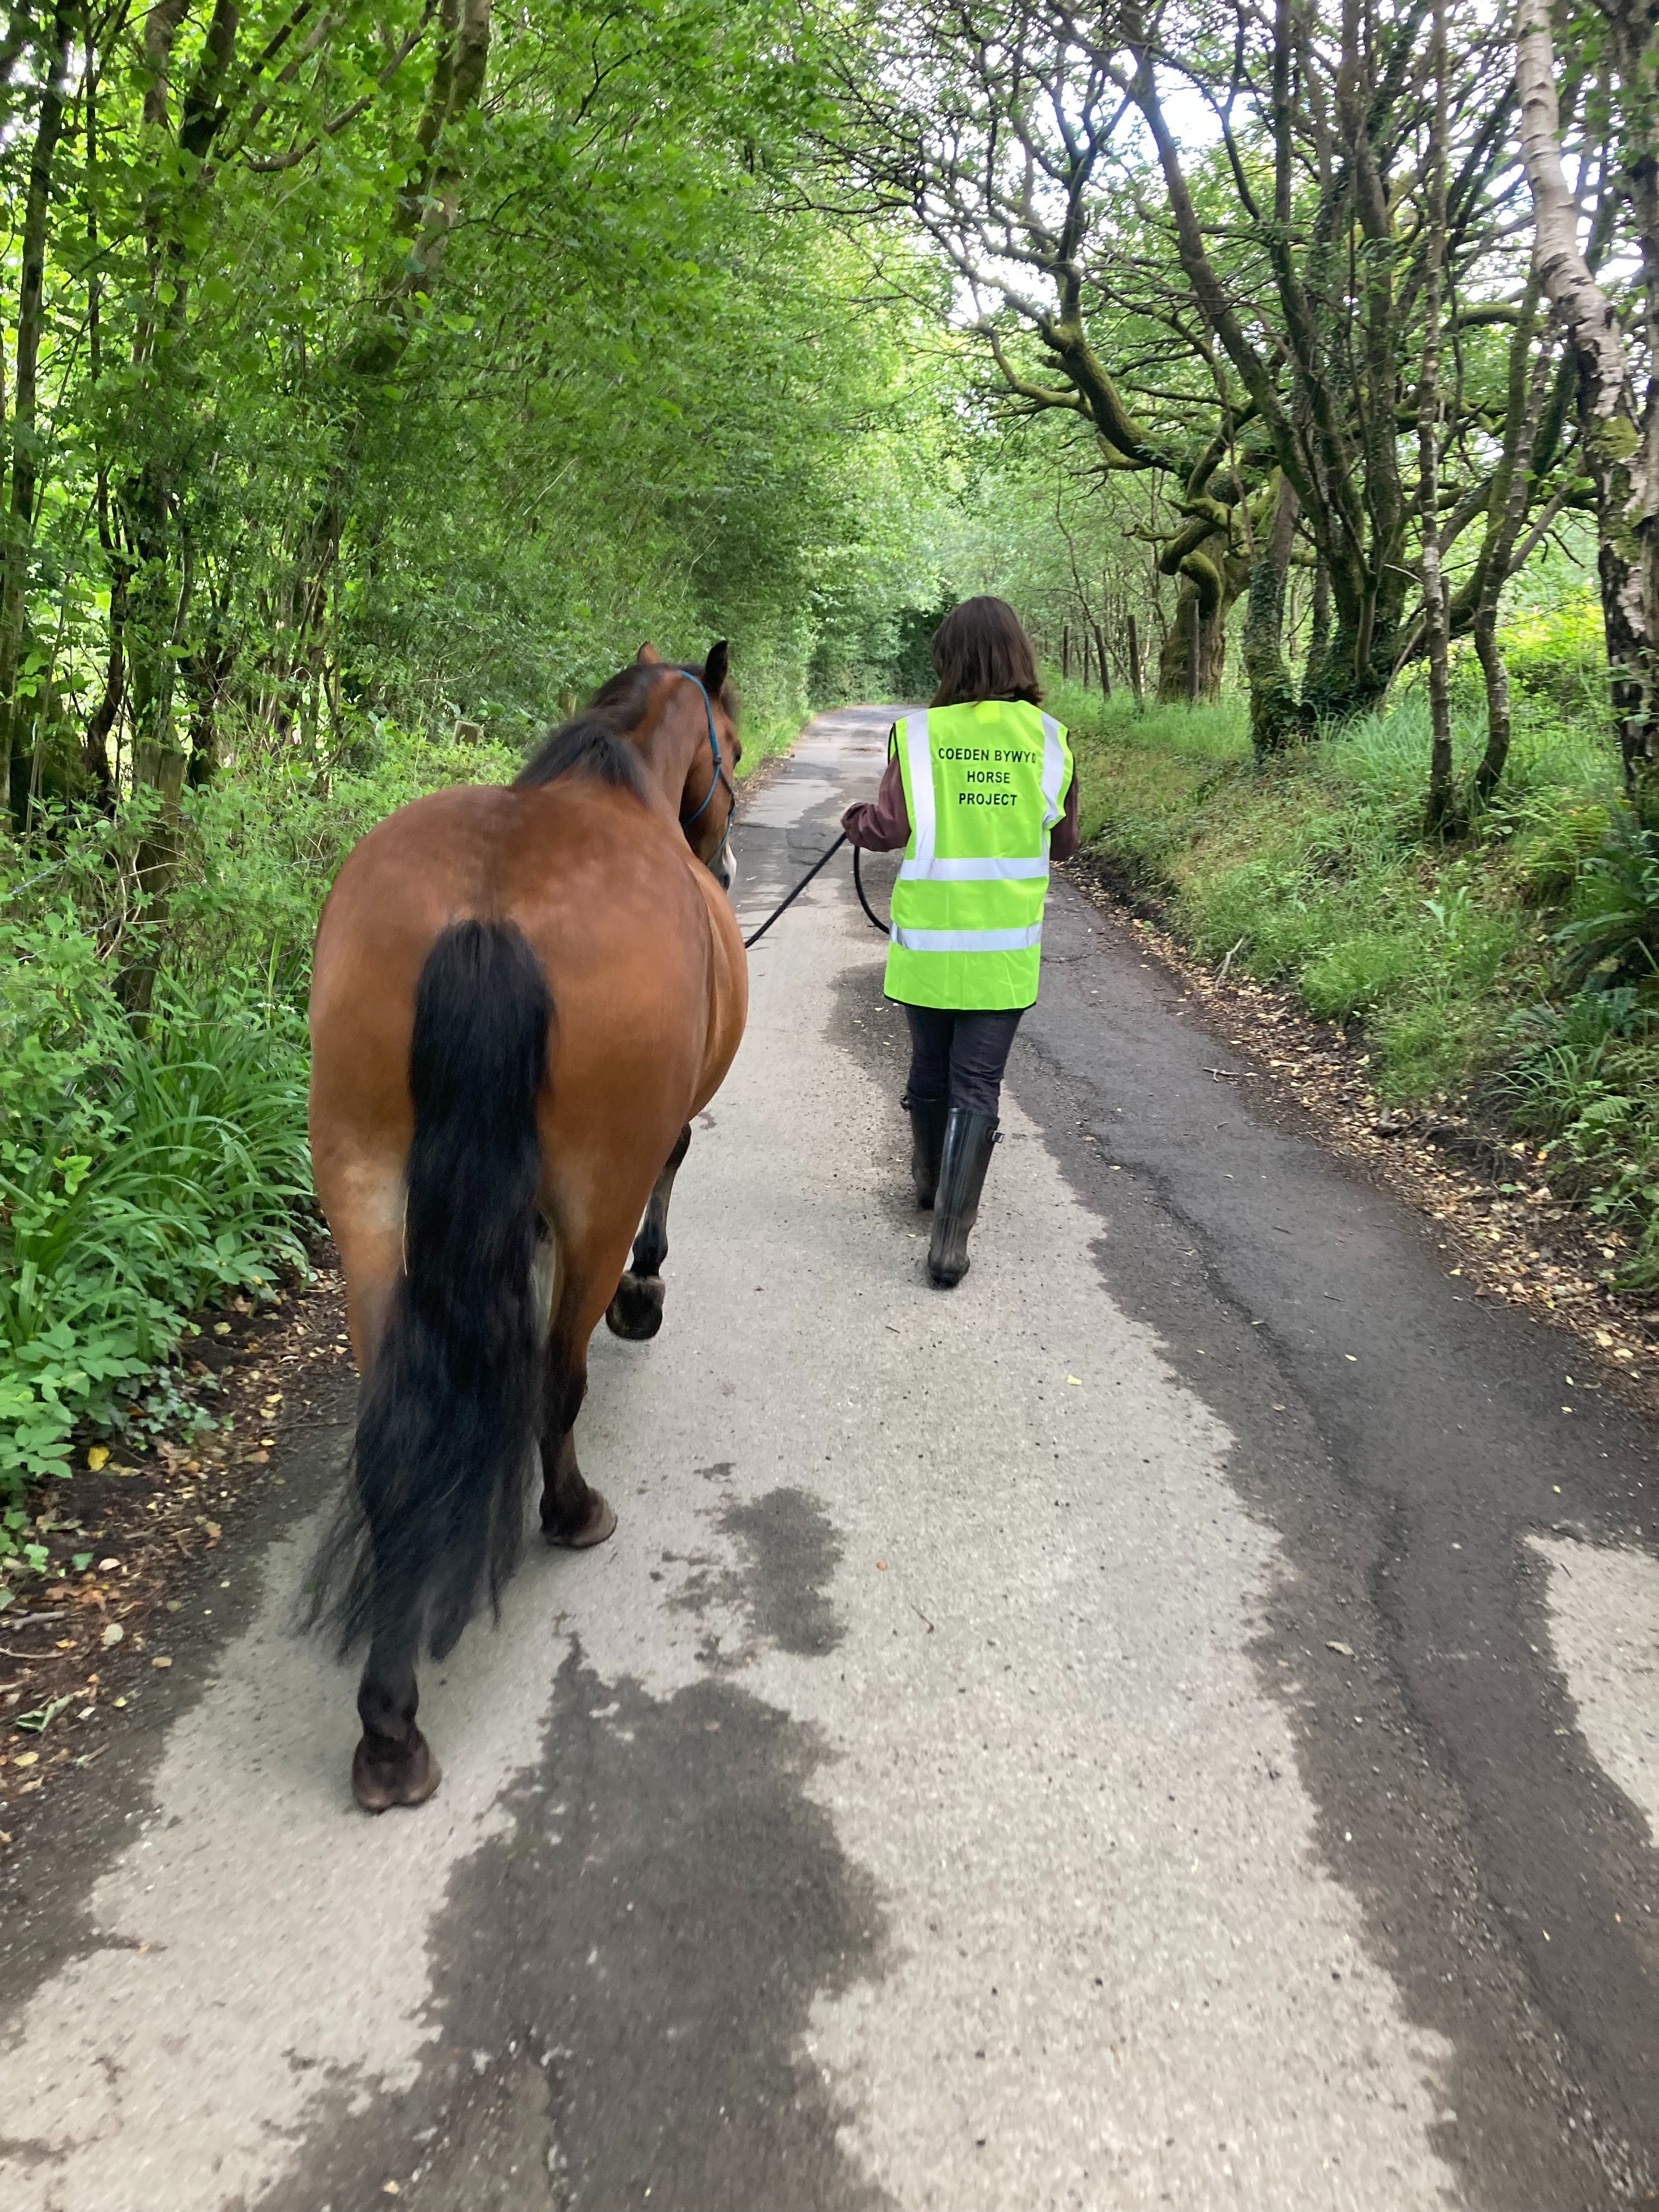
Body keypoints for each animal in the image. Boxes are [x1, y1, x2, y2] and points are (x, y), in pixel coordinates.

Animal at [306, 642, 747, 1811]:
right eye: (732, 744)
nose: (725, 857)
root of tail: (489, 912)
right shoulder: (645, 1150)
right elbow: (671, 1178)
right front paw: (646, 1295)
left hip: (363, 1193)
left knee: (392, 1429)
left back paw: (388, 1724)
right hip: (594, 1187)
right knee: (557, 1377)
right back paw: (573, 1509)